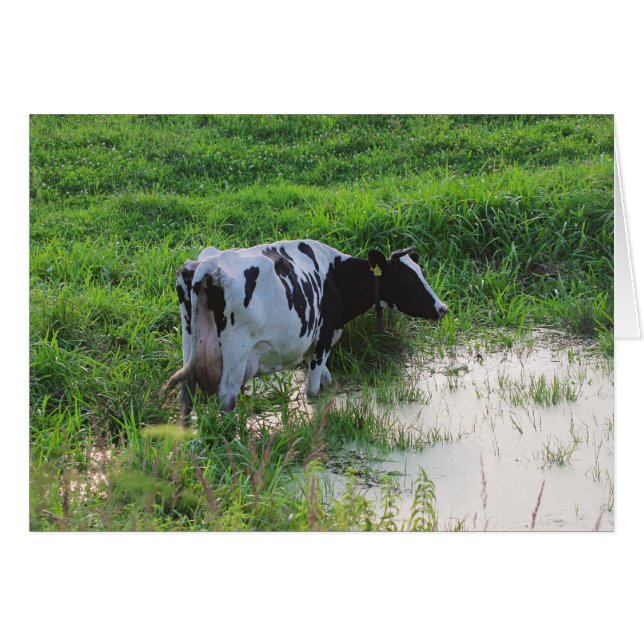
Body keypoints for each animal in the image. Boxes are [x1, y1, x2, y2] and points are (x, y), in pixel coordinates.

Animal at [163, 240, 448, 422]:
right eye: (407, 279)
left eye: (421, 273)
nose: (442, 308)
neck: (334, 279)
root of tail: (209, 264)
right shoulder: (323, 341)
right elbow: (313, 390)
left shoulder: (315, 347)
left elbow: (327, 381)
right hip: (236, 354)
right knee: (226, 398)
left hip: (190, 342)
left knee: (185, 394)